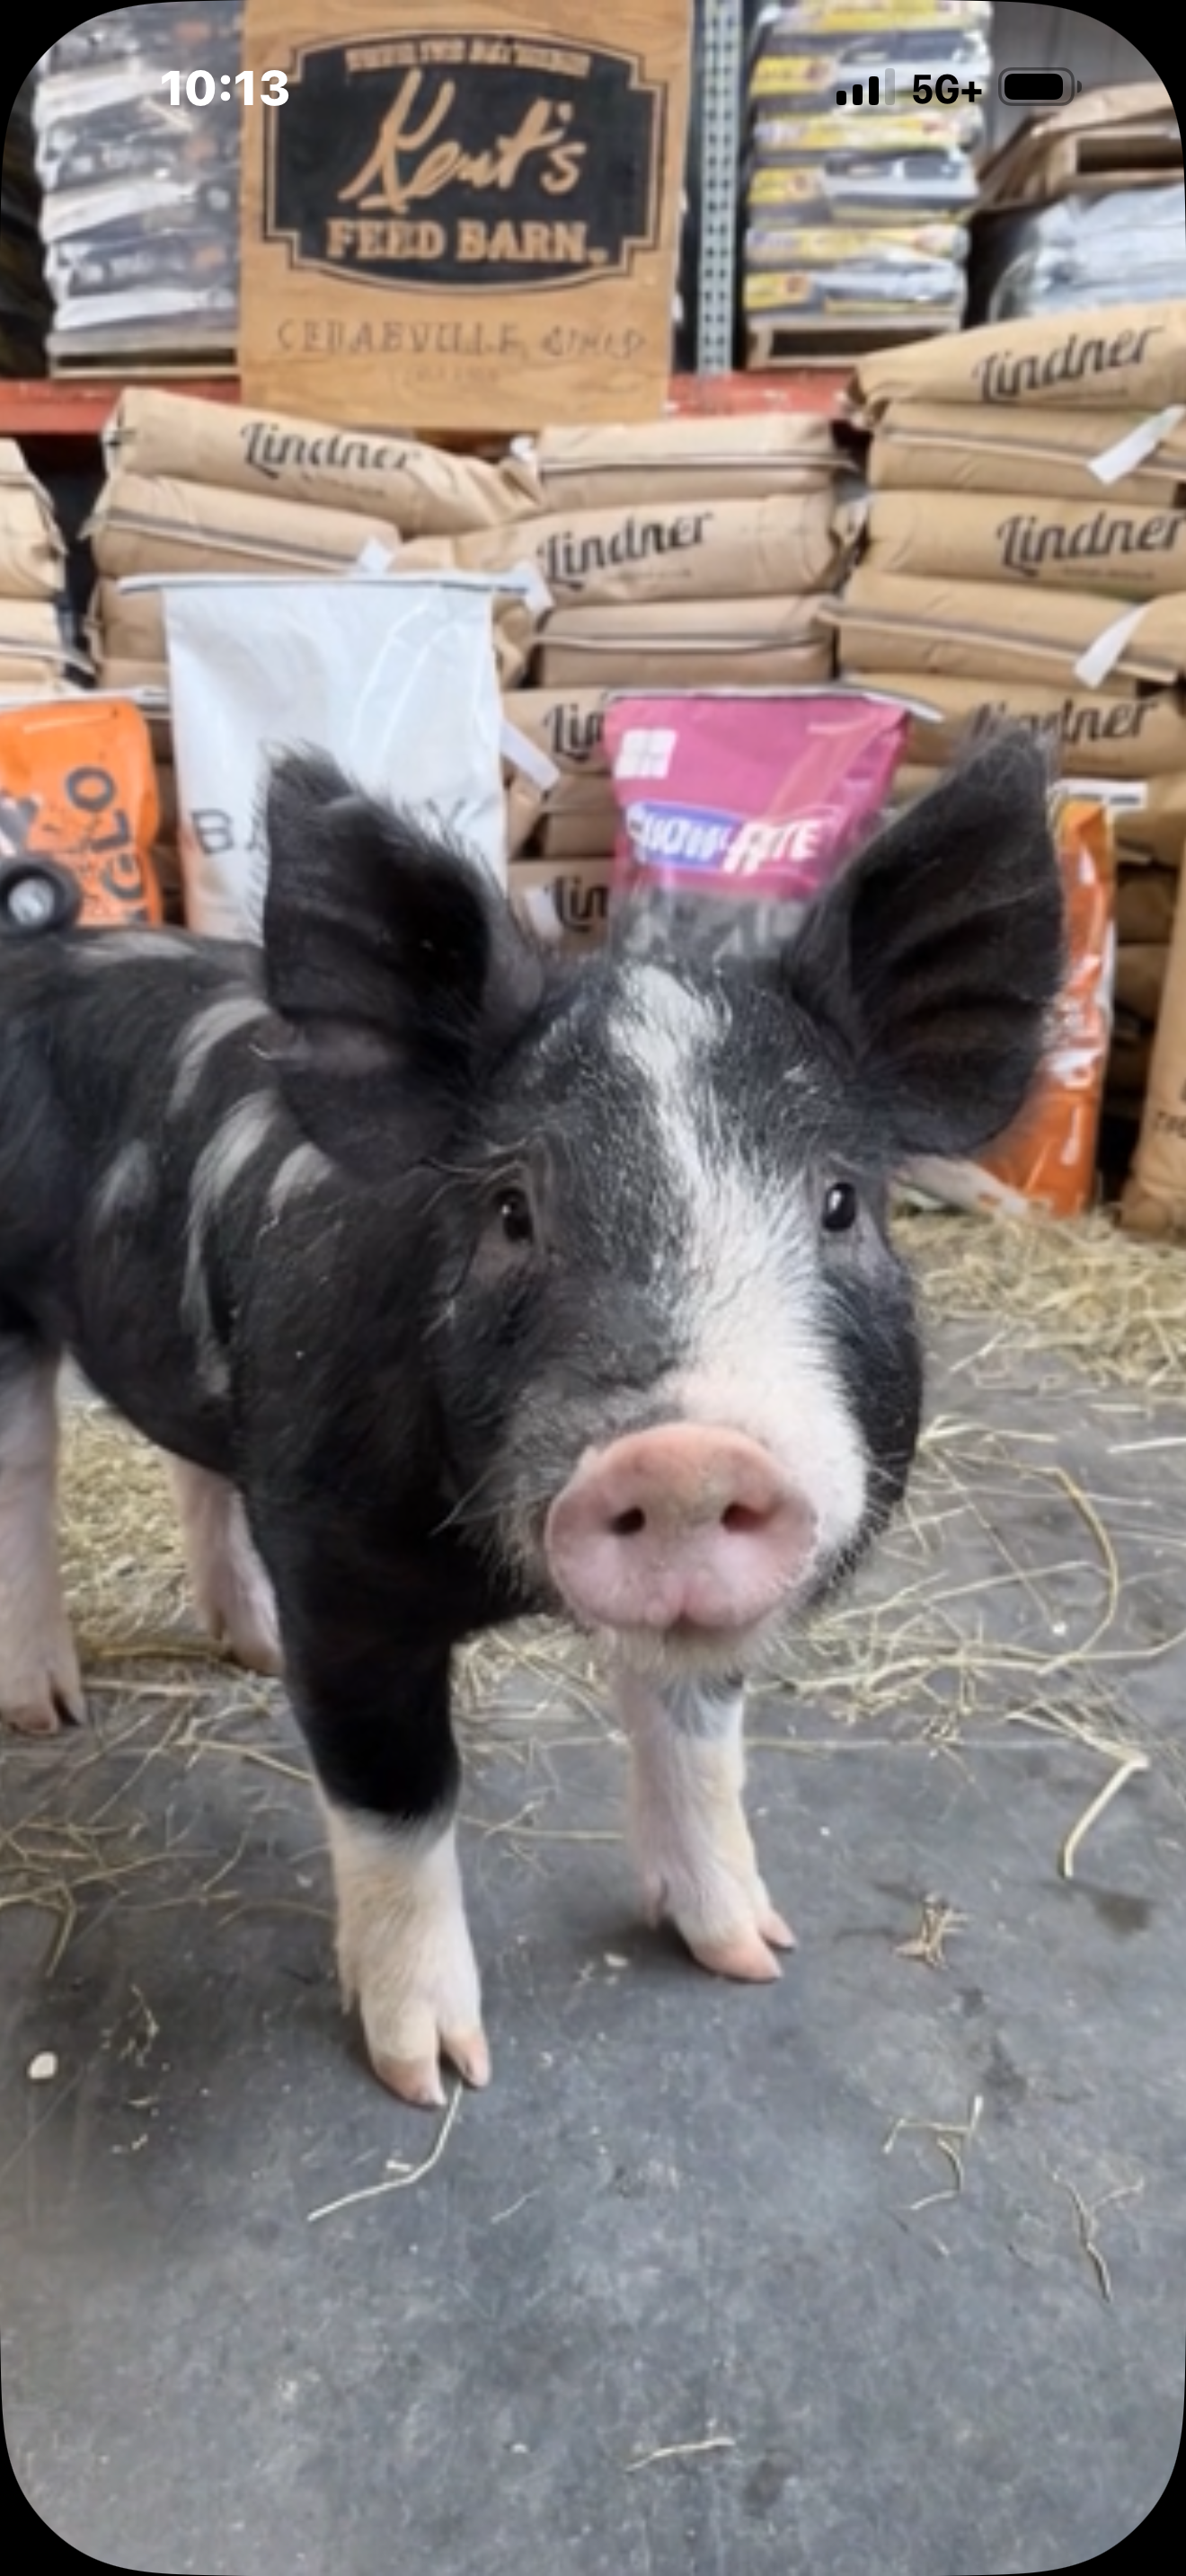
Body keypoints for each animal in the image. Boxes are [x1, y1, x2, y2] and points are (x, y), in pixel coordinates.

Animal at [0, 729, 1063, 2106]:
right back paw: (46, 1709)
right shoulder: (338, 1568)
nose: (683, 1455)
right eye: (511, 1210)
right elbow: (397, 1798)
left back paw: (248, 1650)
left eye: (841, 1202)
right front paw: (433, 2074)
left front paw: (749, 1954)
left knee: (192, 1466)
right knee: (25, 1472)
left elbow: (698, 1736)